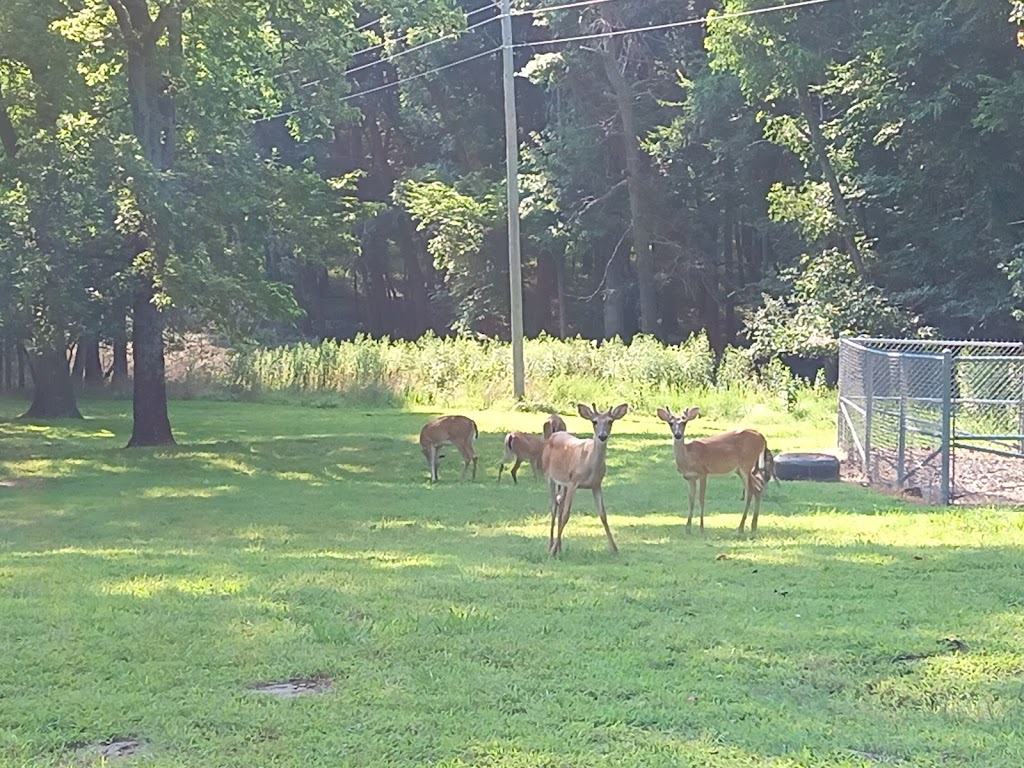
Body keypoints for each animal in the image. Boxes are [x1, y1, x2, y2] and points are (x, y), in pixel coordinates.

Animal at [540, 405, 626, 557]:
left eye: (610, 421)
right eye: (594, 421)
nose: (602, 436)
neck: (590, 464)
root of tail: (553, 435)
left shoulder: (596, 484)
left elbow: (603, 515)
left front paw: (614, 549)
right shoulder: (573, 482)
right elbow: (566, 515)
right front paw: (552, 551)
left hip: (563, 483)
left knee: (559, 504)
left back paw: (559, 547)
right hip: (549, 476)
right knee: (554, 506)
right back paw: (551, 546)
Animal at [659, 405, 770, 536]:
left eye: (684, 422)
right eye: (670, 423)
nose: (678, 435)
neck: (688, 457)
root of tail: (762, 436)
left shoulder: (703, 472)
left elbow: (701, 499)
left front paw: (701, 528)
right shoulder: (690, 477)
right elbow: (691, 500)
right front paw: (688, 528)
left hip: (746, 464)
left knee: (750, 492)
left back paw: (741, 528)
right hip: (742, 469)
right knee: (758, 488)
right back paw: (753, 527)